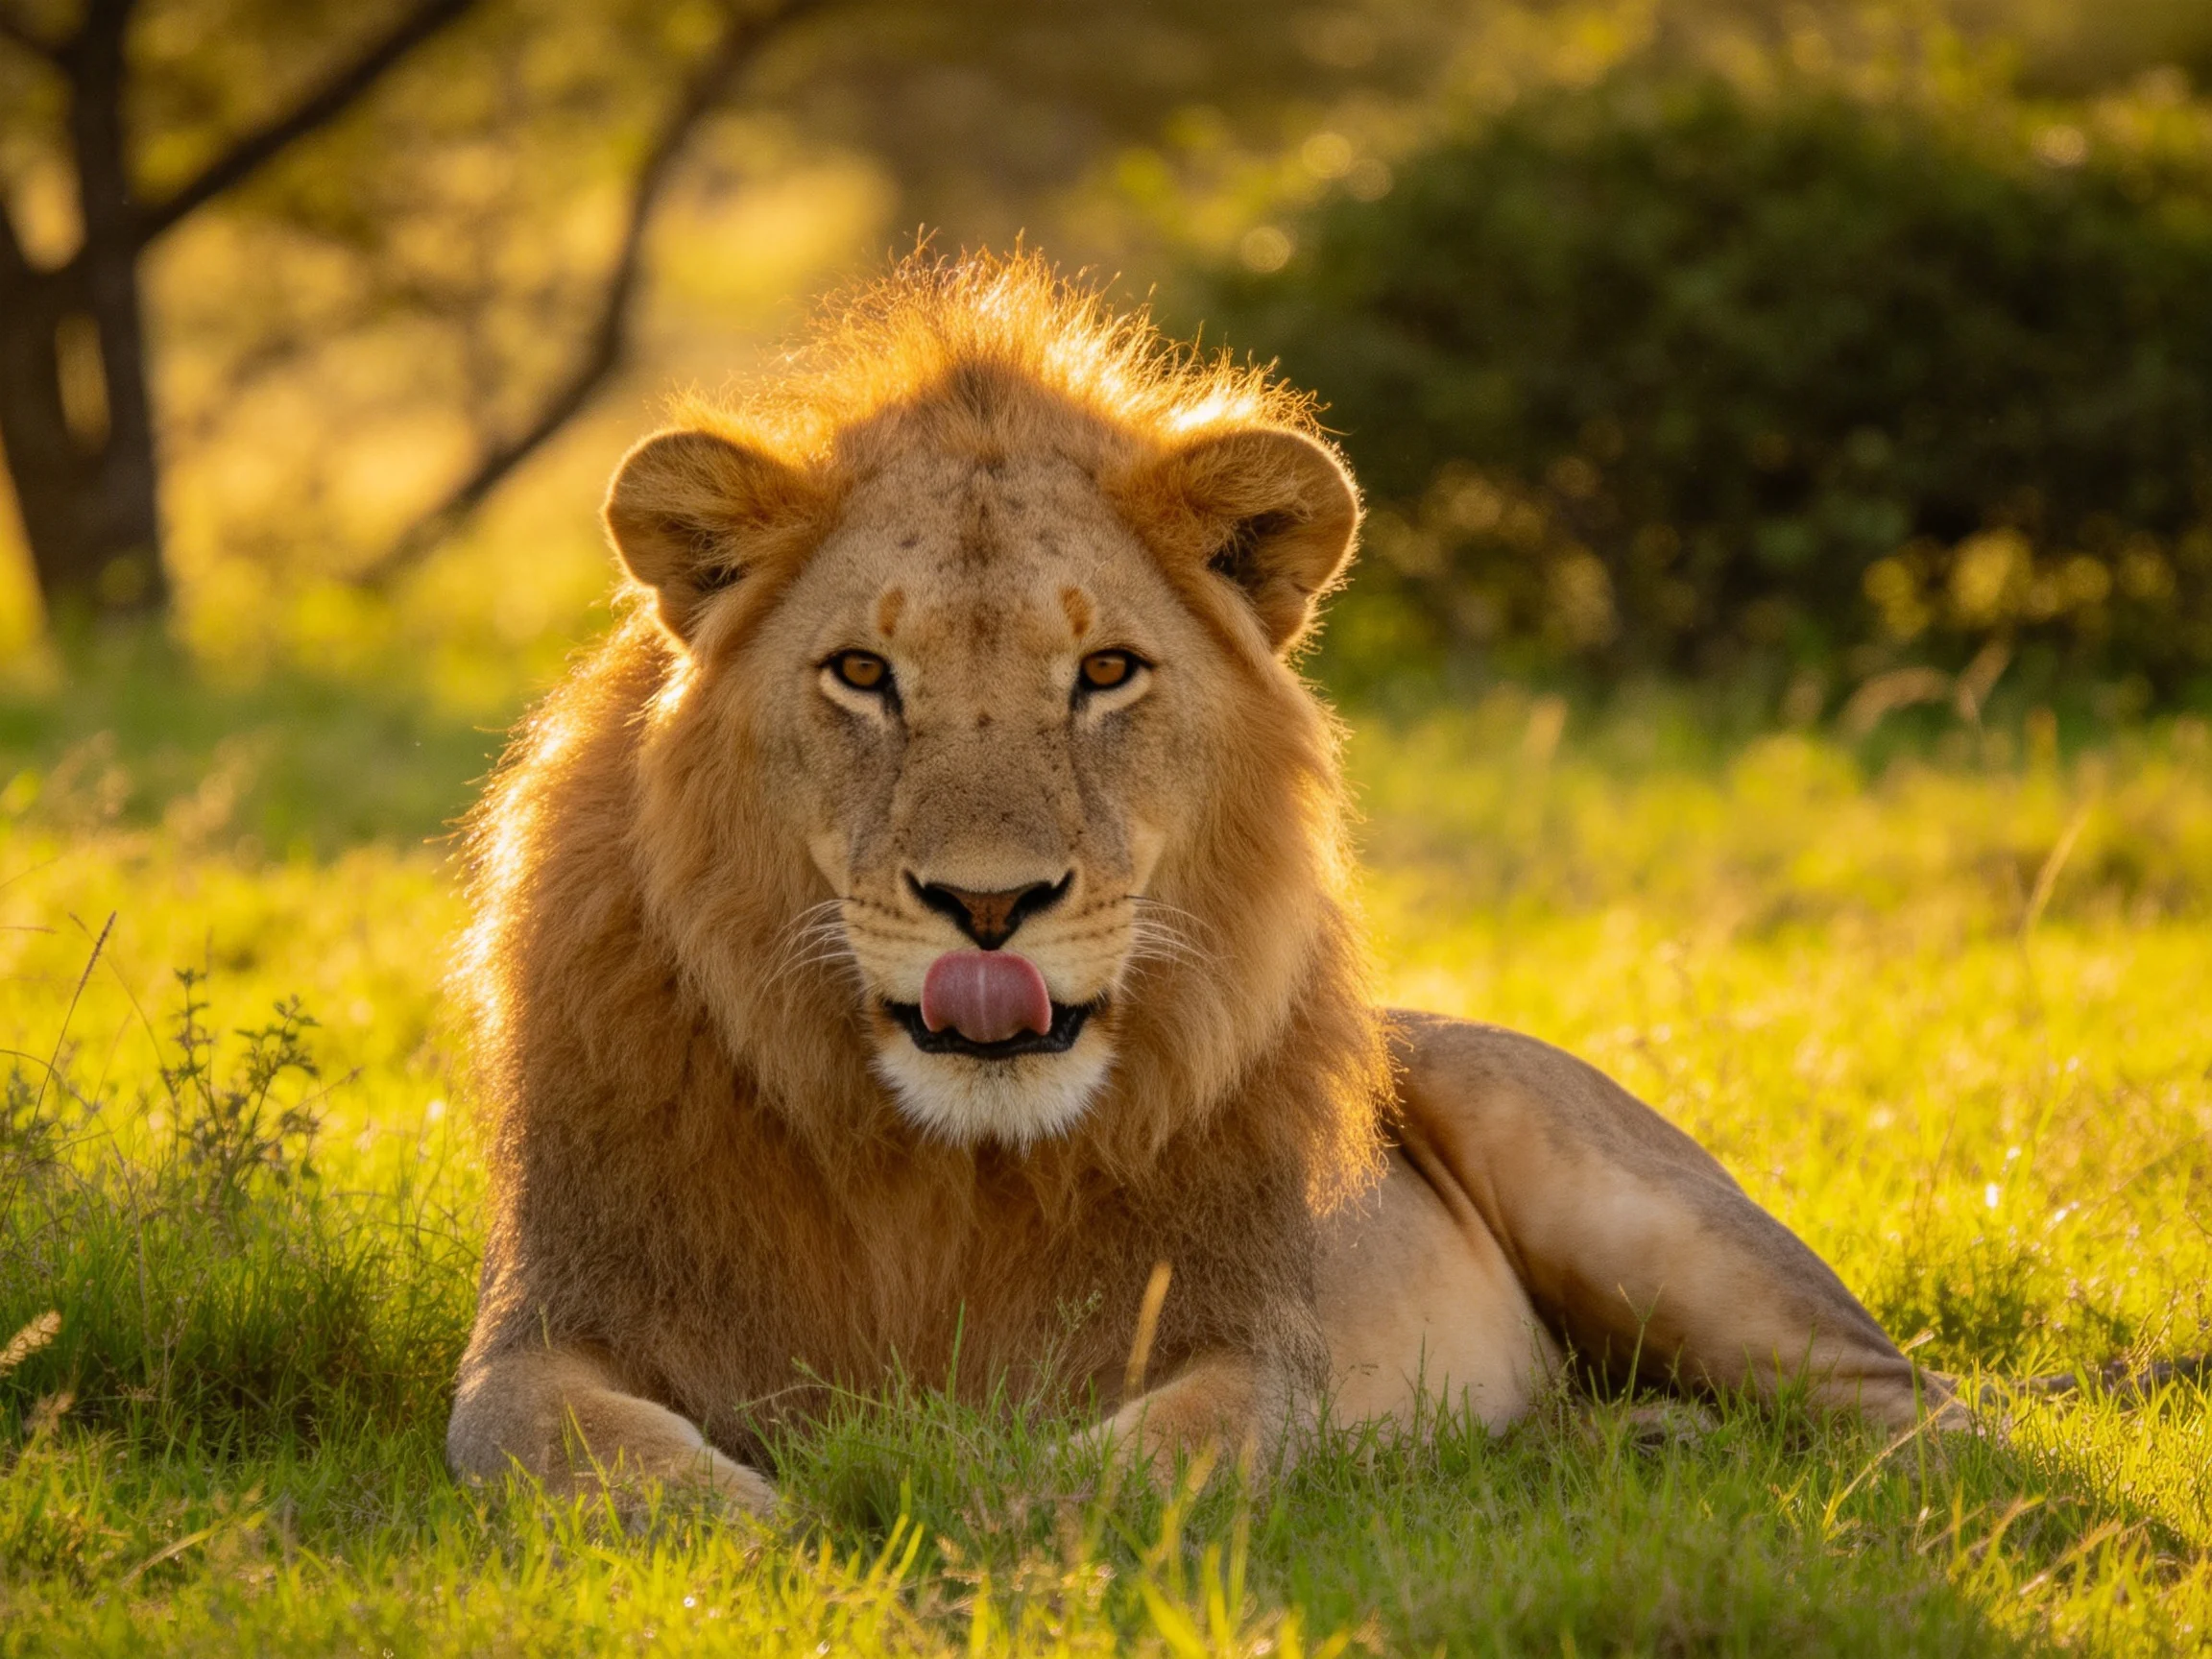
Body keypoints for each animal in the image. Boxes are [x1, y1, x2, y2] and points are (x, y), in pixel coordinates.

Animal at [446, 253, 1942, 1513]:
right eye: (862, 674)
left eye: (1106, 671)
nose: (988, 908)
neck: (941, 1171)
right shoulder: (545, 1324)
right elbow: (580, 1447)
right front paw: (786, 1540)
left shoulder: (1261, 1343)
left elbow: (1165, 1453)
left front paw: (990, 1527)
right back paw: (1632, 1445)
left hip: (1632, 1206)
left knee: (1916, 1403)